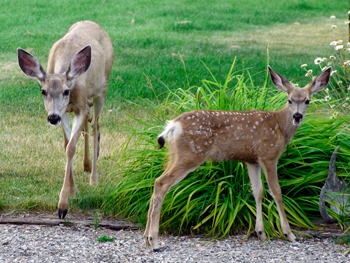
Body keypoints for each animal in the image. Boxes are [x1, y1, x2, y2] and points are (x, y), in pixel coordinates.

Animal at [17, 20, 113, 220]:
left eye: (66, 91)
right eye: (43, 91)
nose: (52, 117)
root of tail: (93, 23)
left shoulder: (80, 106)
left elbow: (71, 148)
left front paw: (62, 206)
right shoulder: (66, 112)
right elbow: (67, 145)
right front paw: (73, 190)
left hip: (102, 89)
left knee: (95, 127)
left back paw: (93, 177)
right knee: (87, 128)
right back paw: (86, 165)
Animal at [144, 66, 330, 252]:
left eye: (307, 101)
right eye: (289, 100)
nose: (297, 116)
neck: (279, 127)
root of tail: (173, 125)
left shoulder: (252, 160)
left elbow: (258, 191)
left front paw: (261, 233)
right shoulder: (268, 155)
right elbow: (276, 191)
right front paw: (289, 234)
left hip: (175, 154)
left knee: (156, 182)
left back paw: (146, 238)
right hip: (190, 155)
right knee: (161, 183)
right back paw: (154, 241)